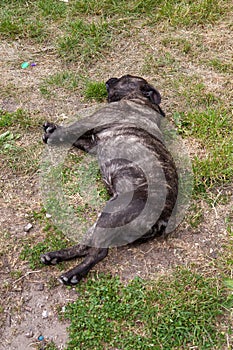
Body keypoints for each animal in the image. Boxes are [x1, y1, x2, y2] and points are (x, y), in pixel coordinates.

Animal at [40, 75, 178, 286]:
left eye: (125, 77)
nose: (110, 78)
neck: (139, 99)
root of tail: (162, 219)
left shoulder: (91, 121)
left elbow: (72, 130)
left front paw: (53, 133)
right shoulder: (92, 144)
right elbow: (77, 139)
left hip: (110, 214)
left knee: (99, 253)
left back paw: (73, 274)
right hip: (102, 222)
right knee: (86, 246)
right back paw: (56, 256)